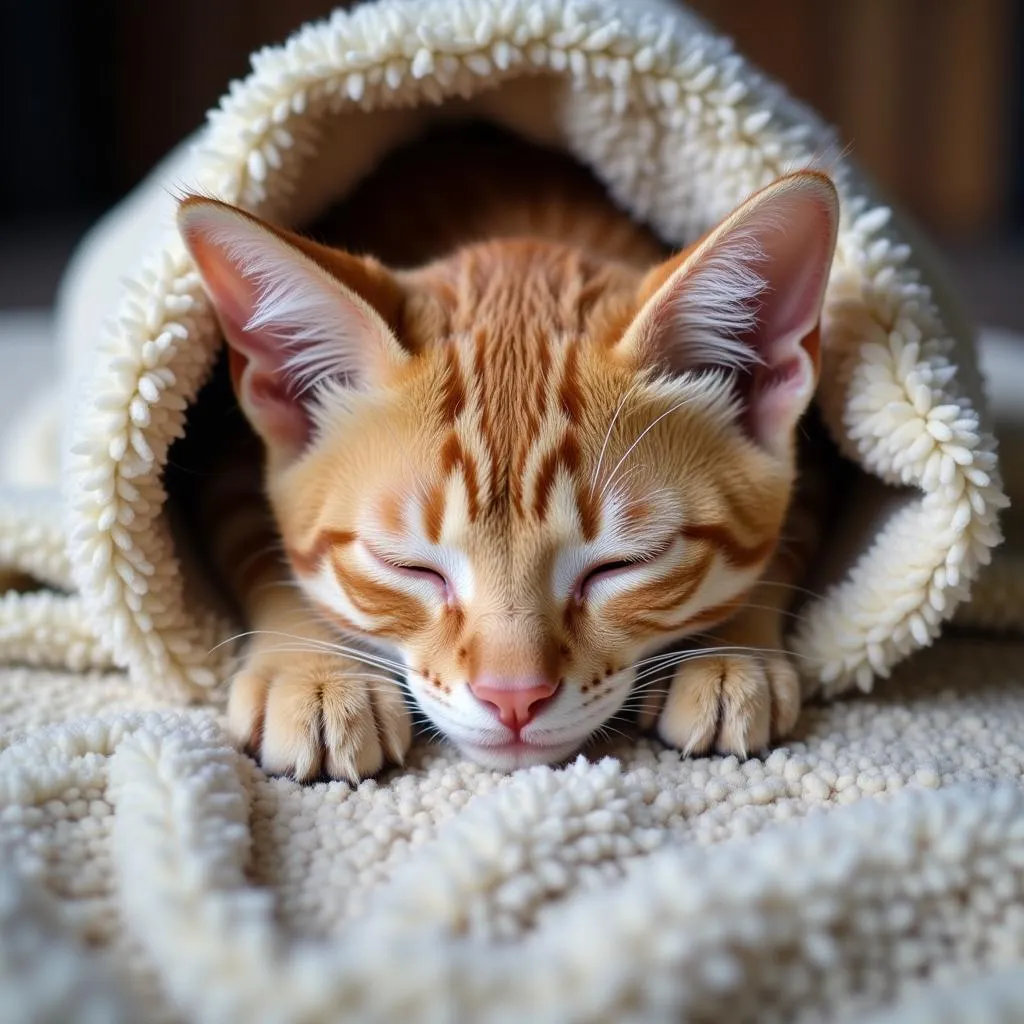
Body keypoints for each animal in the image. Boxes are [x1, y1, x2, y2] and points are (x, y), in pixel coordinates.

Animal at [178, 128, 839, 782]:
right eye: (407, 566)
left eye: (625, 563)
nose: (514, 697)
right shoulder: (226, 469)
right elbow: (270, 560)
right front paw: (312, 675)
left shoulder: (814, 475)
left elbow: (779, 549)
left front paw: (732, 657)